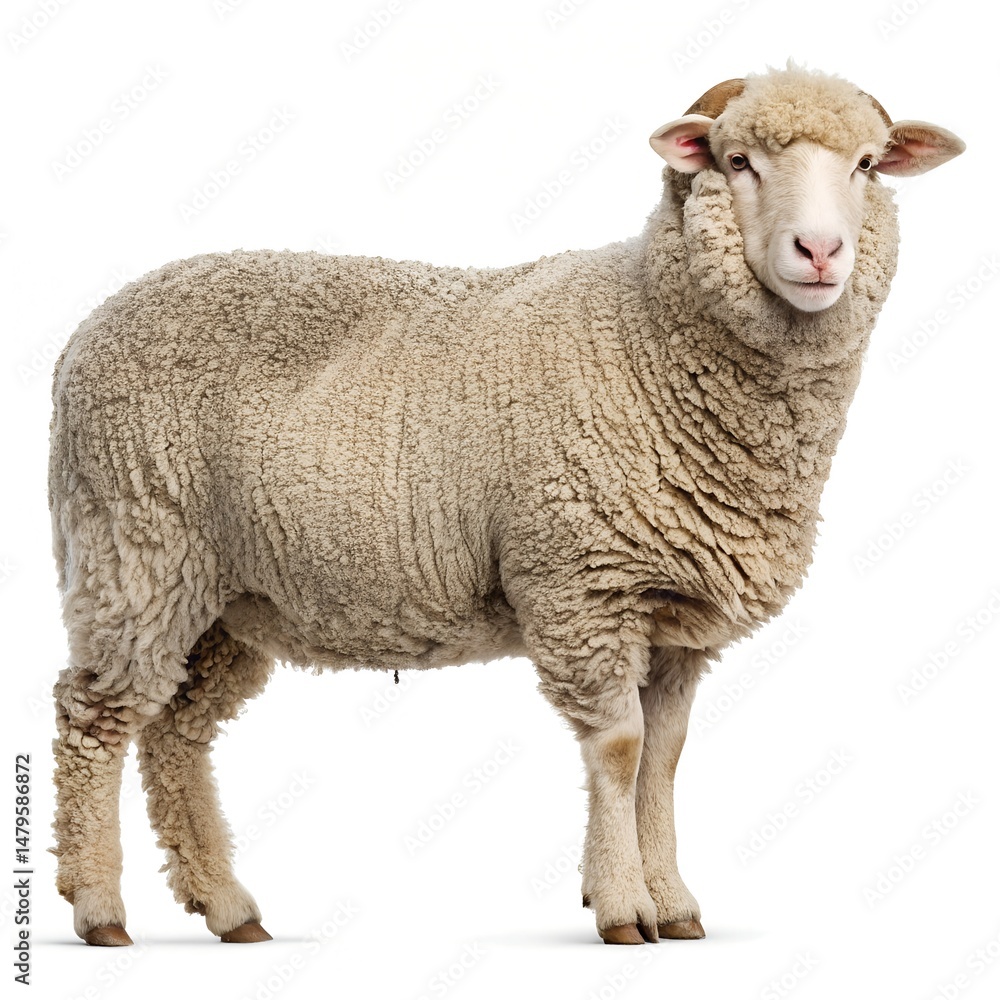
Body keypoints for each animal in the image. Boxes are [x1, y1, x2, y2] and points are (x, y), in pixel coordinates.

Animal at [48, 64, 964, 947]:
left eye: (868, 164)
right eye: (738, 161)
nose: (821, 250)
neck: (647, 337)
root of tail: (86, 330)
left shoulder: (673, 619)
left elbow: (665, 759)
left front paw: (673, 904)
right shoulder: (581, 584)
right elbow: (621, 751)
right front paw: (623, 908)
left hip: (225, 598)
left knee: (175, 732)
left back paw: (228, 907)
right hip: (136, 546)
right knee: (93, 716)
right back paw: (99, 908)